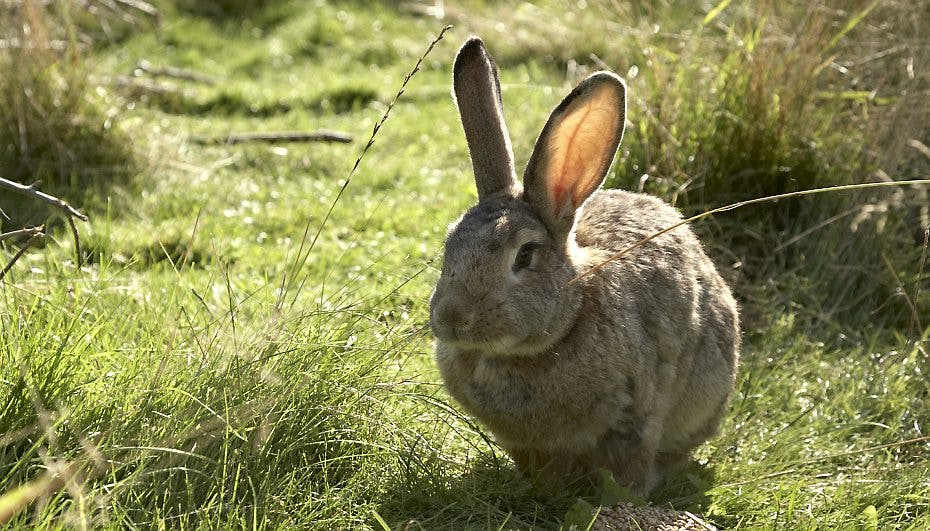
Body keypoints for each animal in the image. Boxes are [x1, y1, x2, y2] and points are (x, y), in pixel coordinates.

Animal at [428, 38, 740, 498]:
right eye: (450, 243)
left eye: (525, 255)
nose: (450, 319)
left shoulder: (636, 416)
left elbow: (631, 465)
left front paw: (625, 499)